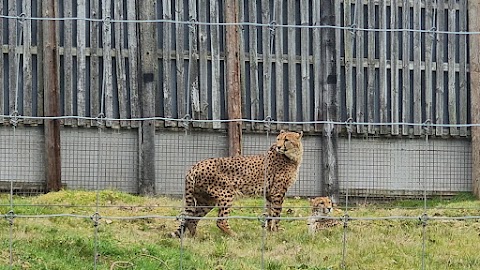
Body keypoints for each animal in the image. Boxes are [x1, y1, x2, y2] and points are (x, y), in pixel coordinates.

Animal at [172, 130, 304, 237]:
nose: (278, 146)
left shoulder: (269, 193)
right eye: (278, 139)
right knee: (220, 220)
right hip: (226, 194)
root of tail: (195, 165)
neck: (292, 156)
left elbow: (269, 212)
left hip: (206, 200)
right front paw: (276, 232)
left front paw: (269, 232)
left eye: (286, 140)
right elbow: (276, 213)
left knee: (191, 219)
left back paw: (196, 238)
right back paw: (234, 235)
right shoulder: (278, 192)